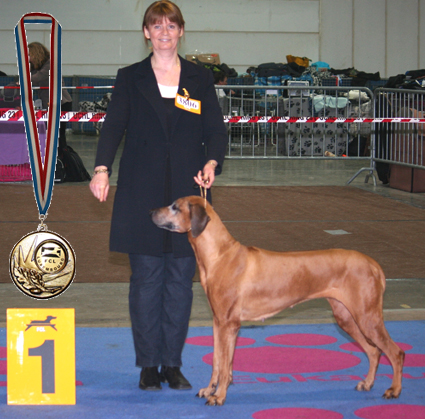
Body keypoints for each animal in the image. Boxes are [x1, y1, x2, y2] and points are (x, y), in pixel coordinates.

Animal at [150, 197, 404, 406]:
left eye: (175, 206)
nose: (151, 211)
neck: (220, 254)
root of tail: (373, 264)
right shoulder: (218, 322)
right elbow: (218, 361)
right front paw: (210, 389)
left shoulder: (229, 325)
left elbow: (223, 365)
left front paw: (219, 396)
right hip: (346, 317)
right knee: (374, 351)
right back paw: (368, 383)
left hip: (367, 317)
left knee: (396, 352)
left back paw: (394, 390)